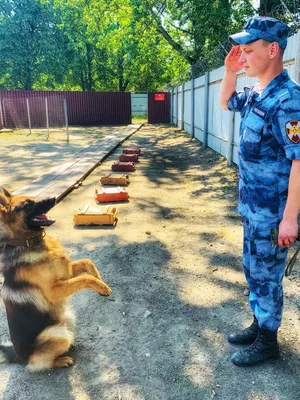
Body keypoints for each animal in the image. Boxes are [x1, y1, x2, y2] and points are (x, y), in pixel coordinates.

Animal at [0, 188, 112, 372]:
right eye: (28, 204)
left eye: (32, 198)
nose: (53, 198)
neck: (28, 243)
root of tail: (19, 357)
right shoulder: (55, 290)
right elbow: (85, 277)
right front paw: (102, 286)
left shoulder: (65, 274)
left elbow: (87, 262)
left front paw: (100, 281)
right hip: (57, 334)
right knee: (40, 365)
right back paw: (61, 360)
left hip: (68, 319)